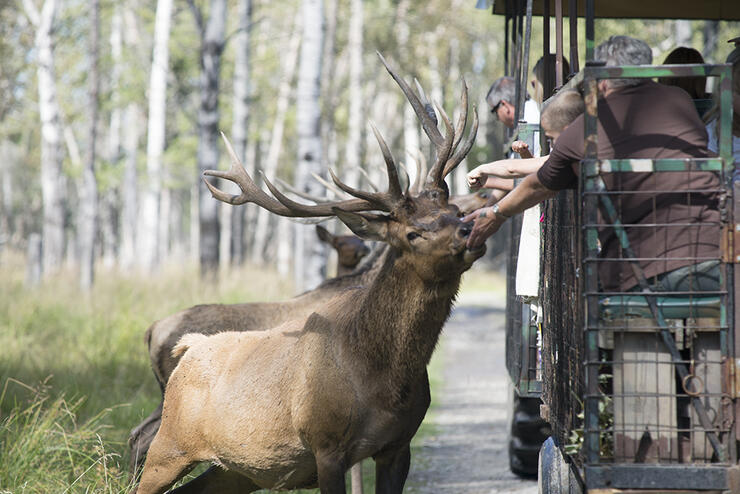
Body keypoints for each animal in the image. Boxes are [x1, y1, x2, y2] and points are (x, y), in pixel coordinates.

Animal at [134, 55, 482, 494]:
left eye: (452, 211)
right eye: (412, 233)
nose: (470, 230)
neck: (386, 383)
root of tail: (187, 346)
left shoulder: (399, 446)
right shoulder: (327, 446)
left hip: (234, 469)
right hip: (171, 444)